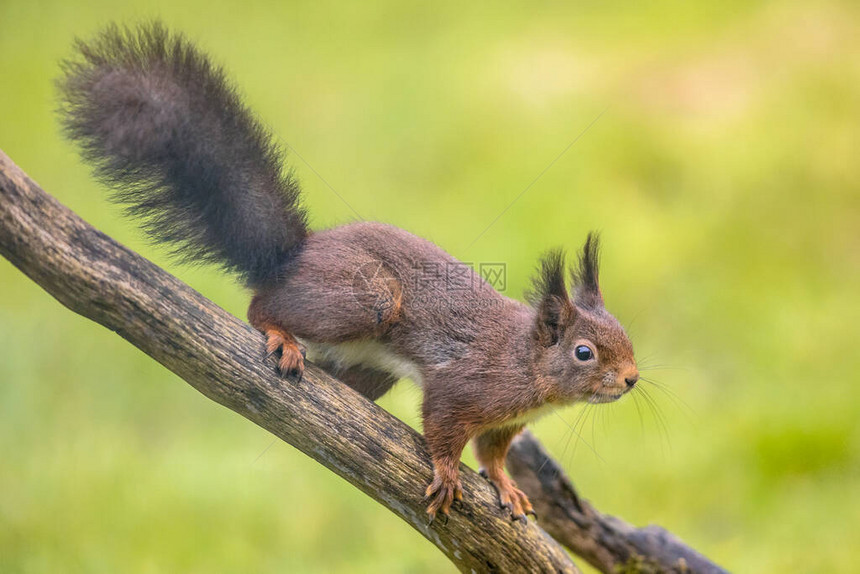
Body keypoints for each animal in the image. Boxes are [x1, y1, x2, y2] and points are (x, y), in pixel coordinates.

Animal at [60, 22, 640, 528]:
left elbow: (492, 455)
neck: (528, 366)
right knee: (261, 305)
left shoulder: (505, 425)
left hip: (370, 365)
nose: (632, 379)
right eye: (584, 352)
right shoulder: (467, 385)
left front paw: (506, 486)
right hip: (367, 299)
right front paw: (448, 473)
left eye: (625, 338)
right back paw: (280, 335)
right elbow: (443, 427)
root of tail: (294, 255)